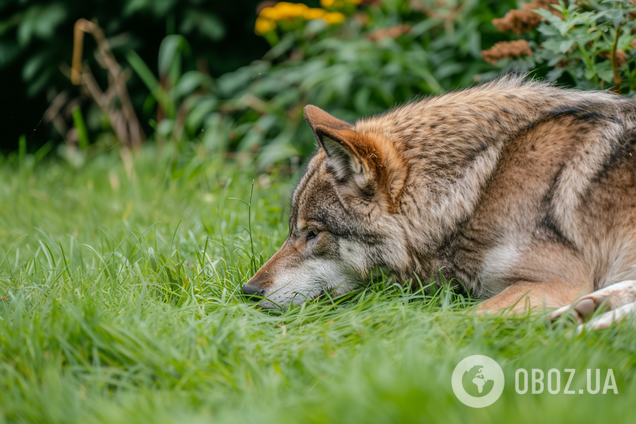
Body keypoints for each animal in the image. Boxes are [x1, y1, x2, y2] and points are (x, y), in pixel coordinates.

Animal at [245, 76, 636, 332]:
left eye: (313, 233)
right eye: (293, 231)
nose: (248, 292)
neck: (479, 187)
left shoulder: (559, 280)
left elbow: (458, 320)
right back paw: (586, 313)